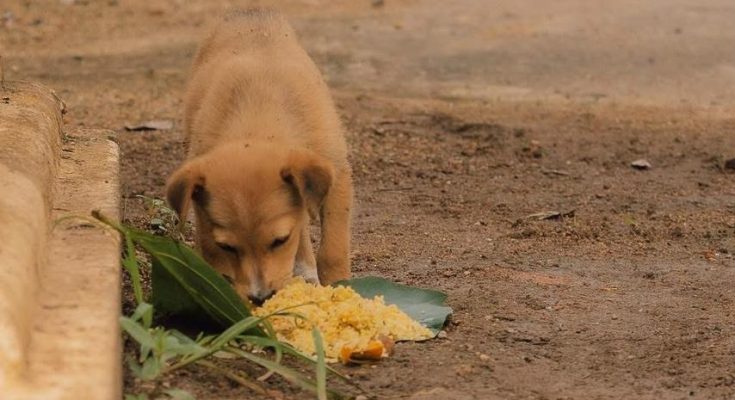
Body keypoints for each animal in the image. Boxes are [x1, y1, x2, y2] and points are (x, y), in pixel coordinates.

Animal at [166, 9, 353, 304]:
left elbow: (332, 250)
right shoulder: (206, 220)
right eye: (227, 246)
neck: (260, 117)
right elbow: (216, 262)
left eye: (279, 241)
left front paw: (341, 291)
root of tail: (247, 11)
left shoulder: (337, 176)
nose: (261, 297)